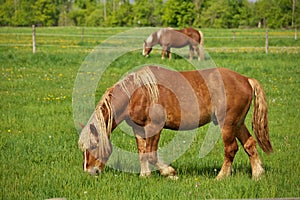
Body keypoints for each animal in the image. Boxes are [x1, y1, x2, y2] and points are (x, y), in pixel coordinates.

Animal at [78, 65, 274, 180]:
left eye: (93, 146)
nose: (90, 172)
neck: (137, 92)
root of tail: (246, 79)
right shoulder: (138, 129)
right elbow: (142, 153)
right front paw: (144, 175)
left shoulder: (155, 127)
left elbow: (151, 154)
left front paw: (170, 173)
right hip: (238, 123)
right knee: (249, 144)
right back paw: (258, 174)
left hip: (228, 123)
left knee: (231, 149)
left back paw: (221, 177)